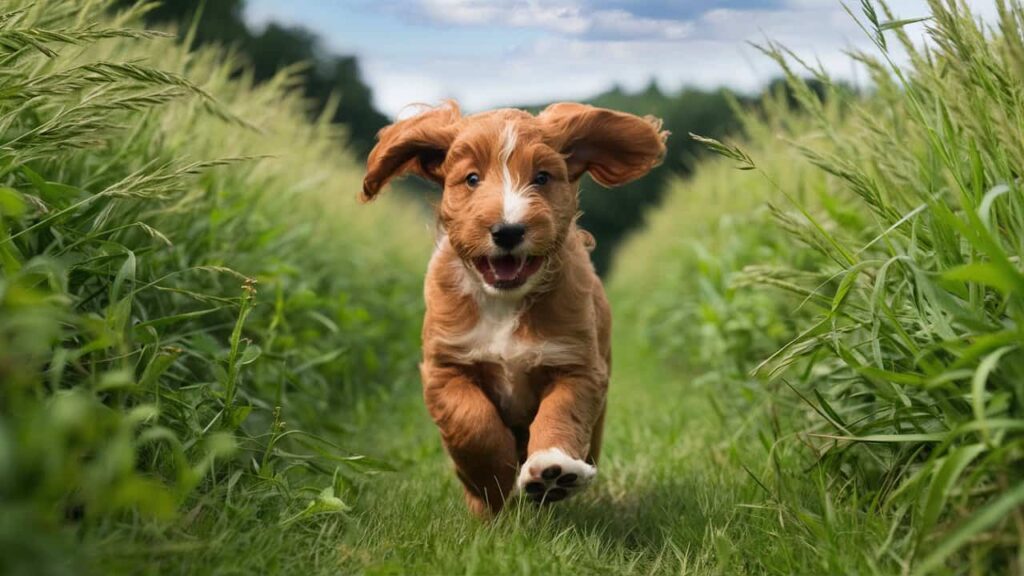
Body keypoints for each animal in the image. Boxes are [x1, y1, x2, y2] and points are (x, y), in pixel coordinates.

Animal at [360, 99, 663, 516]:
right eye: (472, 179)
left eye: (542, 177)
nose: (508, 231)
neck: (503, 302)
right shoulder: (446, 367)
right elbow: (473, 422)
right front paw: (492, 481)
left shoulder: (577, 365)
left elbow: (560, 413)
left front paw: (553, 470)